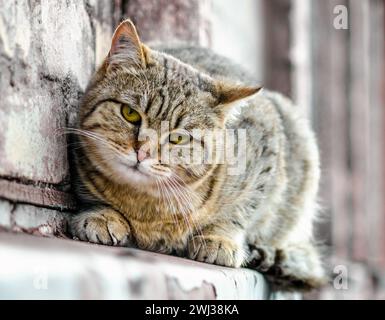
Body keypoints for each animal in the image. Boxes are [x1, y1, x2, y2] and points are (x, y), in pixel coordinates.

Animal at [68, 19, 324, 290]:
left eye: (178, 138)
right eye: (130, 114)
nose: (142, 152)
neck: (146, 205)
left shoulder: (266, 148)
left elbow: (241, 209)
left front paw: (219, 237)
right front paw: (103, 214)